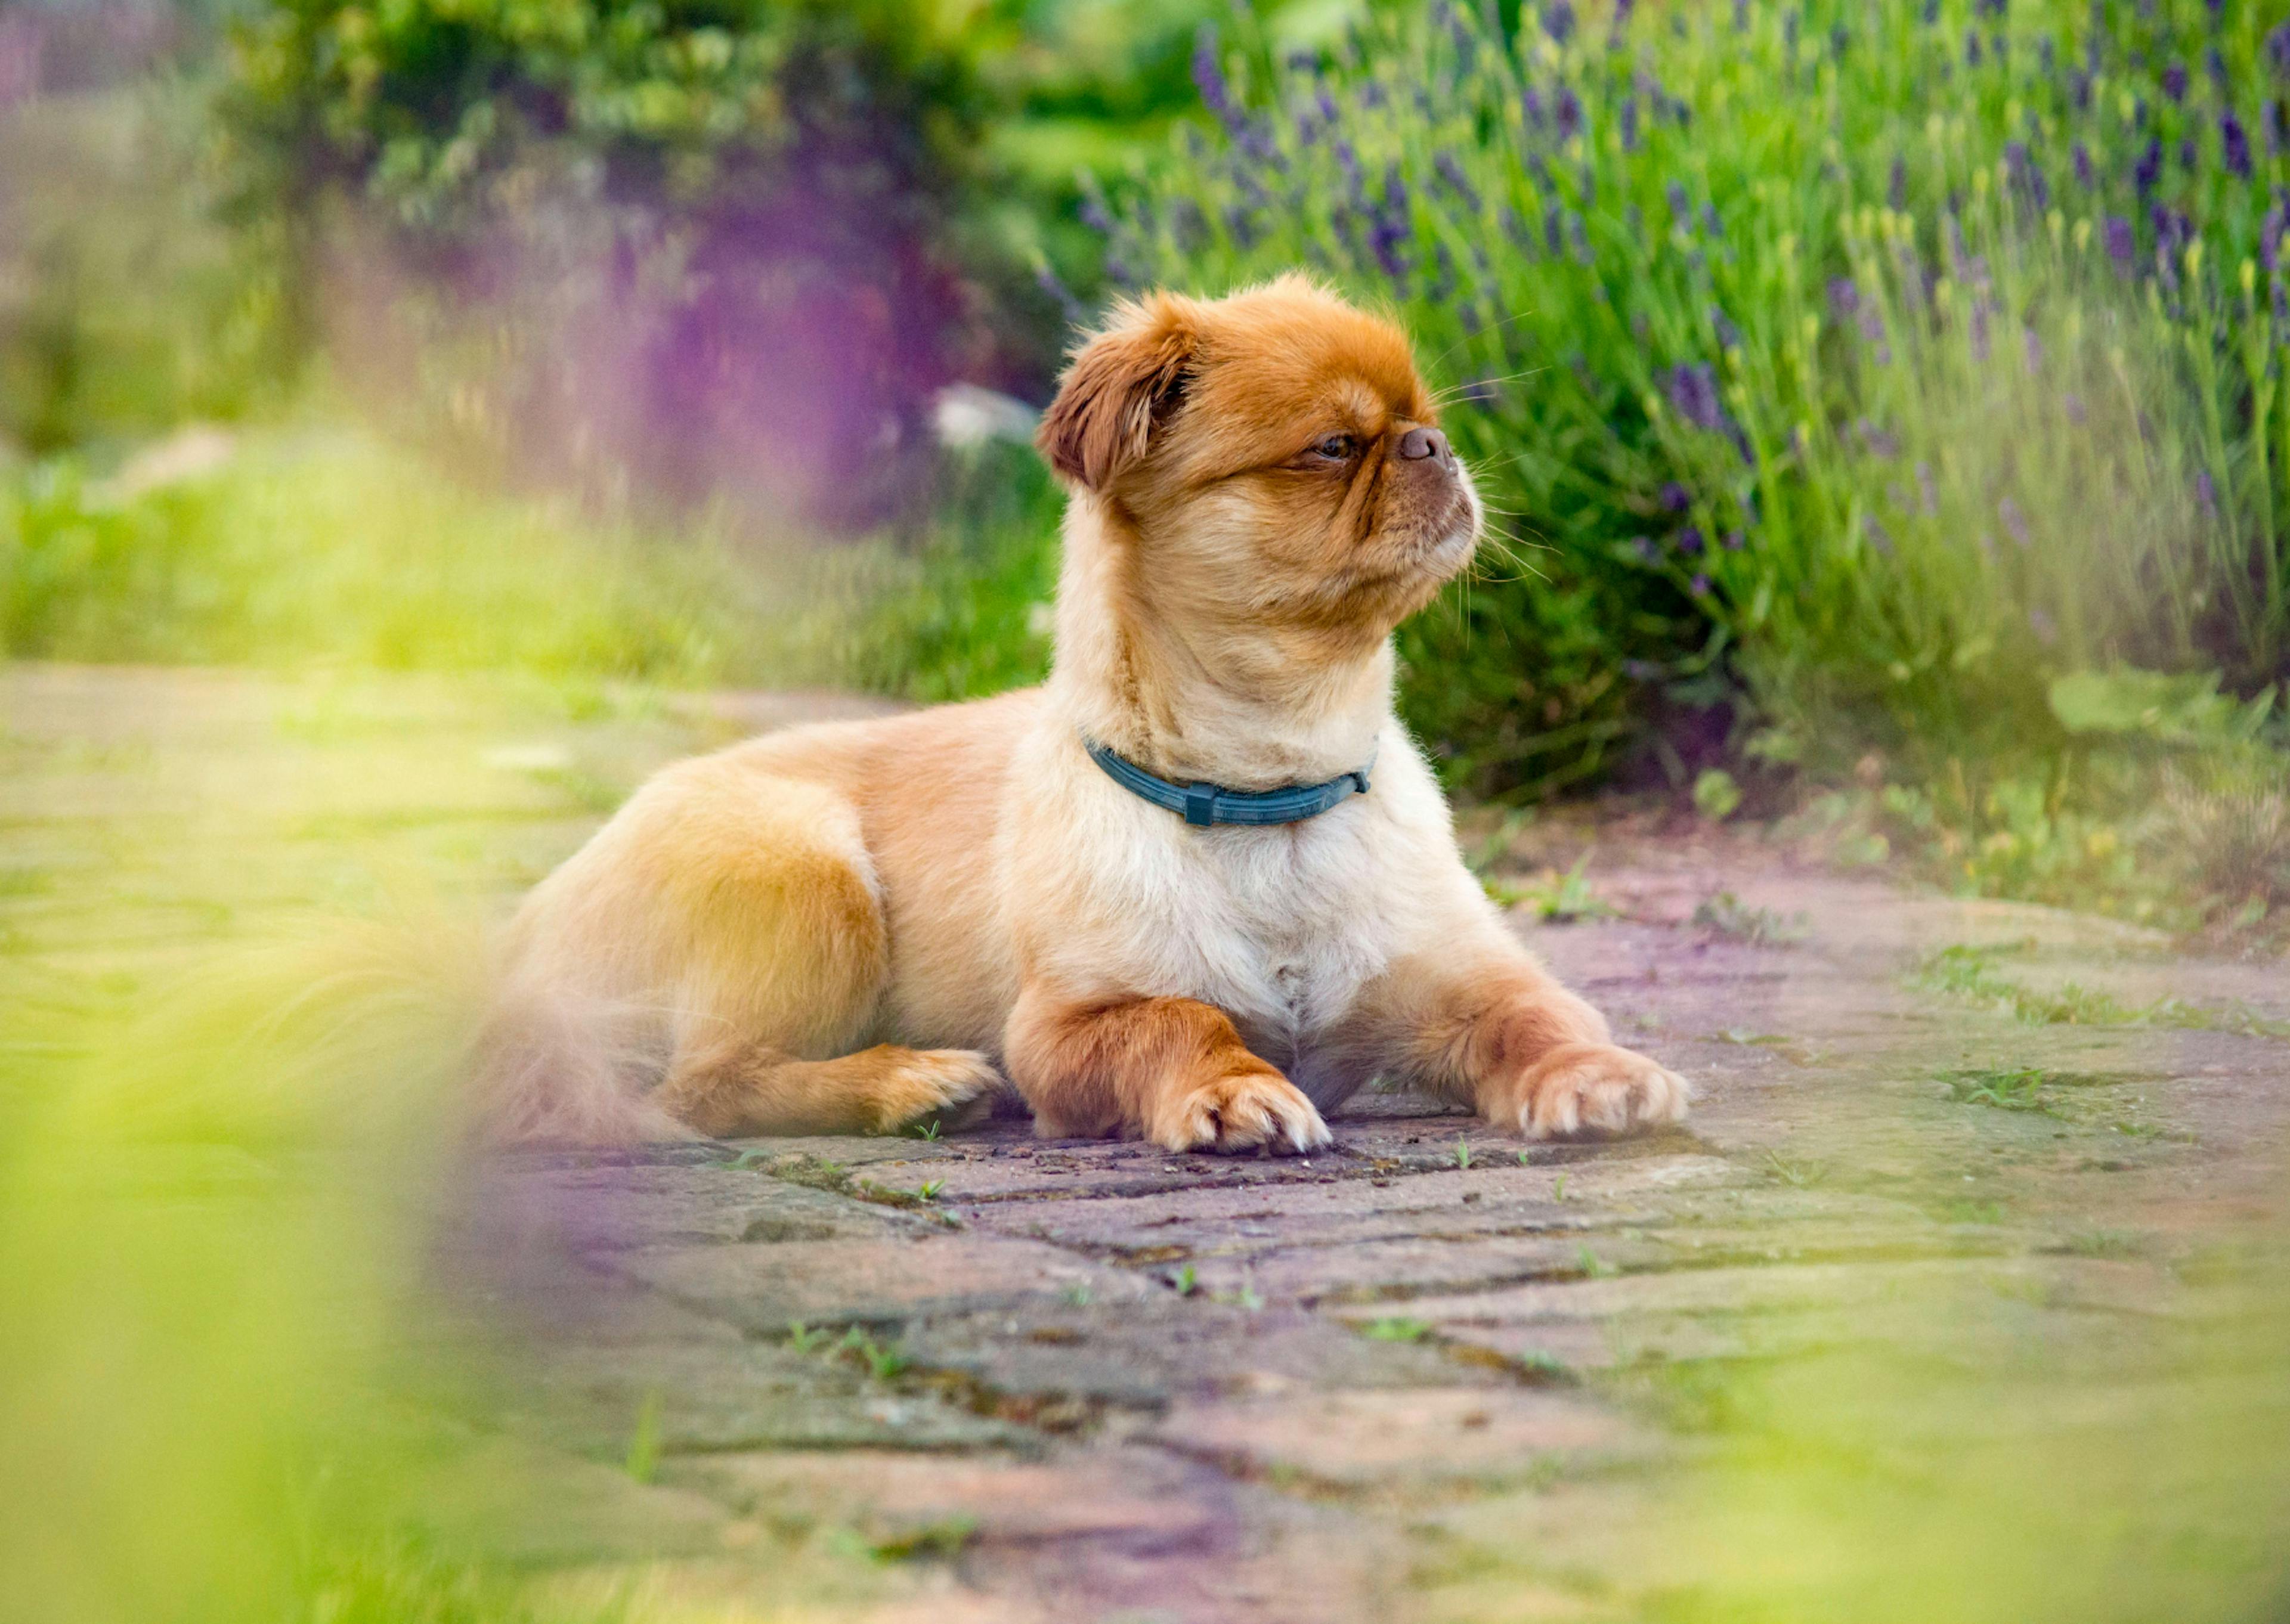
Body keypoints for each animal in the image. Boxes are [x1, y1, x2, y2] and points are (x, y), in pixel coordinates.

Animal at [483, 272, 1685, 1145]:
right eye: (1336, 446)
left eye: (1424, 422)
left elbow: (1537, 1017)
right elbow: (1181, 1020)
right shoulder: (1063, 1029)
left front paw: (1598, 1073)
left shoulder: (1467, 975)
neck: (1270, 788)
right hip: (810, 873)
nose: (1435, 447)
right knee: (703, 1089)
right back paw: (911, 1086)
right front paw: (1234, 1090)